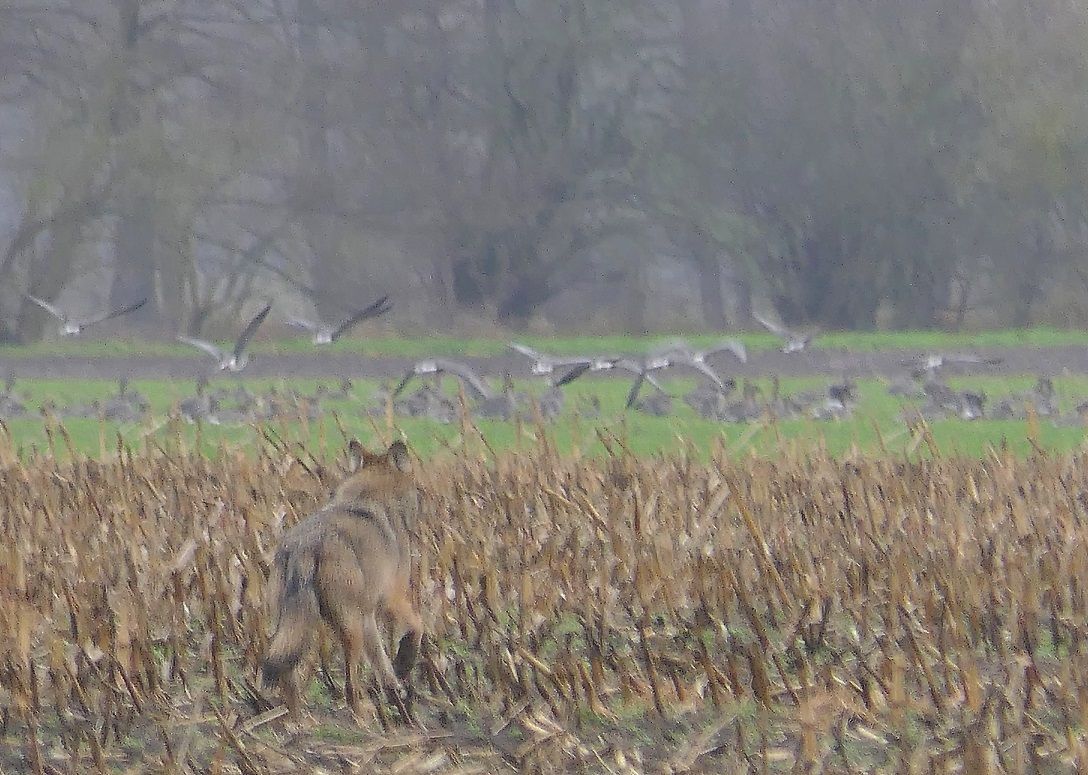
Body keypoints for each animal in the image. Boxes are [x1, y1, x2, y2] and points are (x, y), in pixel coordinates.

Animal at [261, 439, 424, 718]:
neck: (371, 495)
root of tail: (306, 545)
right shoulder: (392, 598)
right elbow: (418, 626)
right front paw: (404, 662)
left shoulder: (368, 614)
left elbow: (381, 661)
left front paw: (395, 690)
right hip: (349, 629)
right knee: (349, 684)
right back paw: (361, 713)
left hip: (290, 627)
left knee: (286, 677)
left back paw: (298, 721)